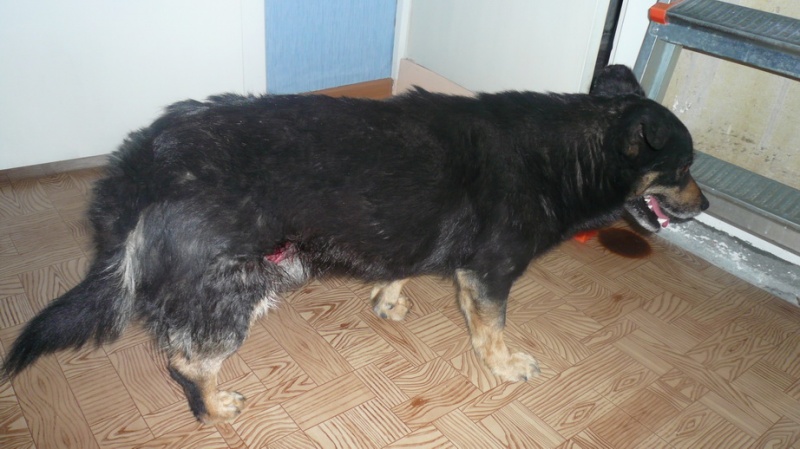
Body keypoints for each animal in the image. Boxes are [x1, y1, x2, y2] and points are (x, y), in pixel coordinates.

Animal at [2, 65, 708, 424]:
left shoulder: (421, 240)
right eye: (680, 169)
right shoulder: (491, 275)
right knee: (186, 359)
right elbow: (492, 331)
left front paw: (388, 298)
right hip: (245, 289)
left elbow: (401, 264)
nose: (707, 207)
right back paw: (213, 405)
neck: (571, 152)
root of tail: (141, 165)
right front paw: (504, 366)